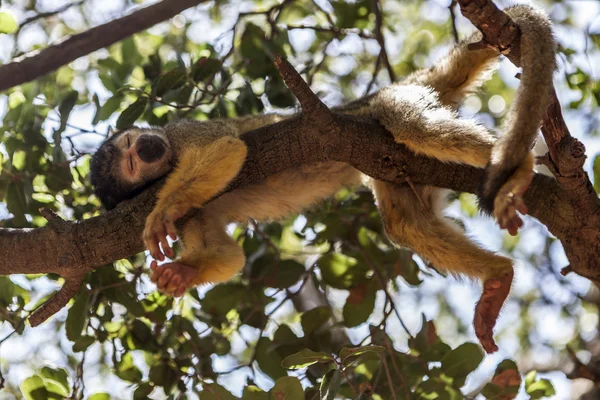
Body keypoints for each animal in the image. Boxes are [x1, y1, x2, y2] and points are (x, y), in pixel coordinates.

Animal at [90, 3, 556, 354]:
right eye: (130, 166)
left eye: (132, 143)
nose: (147, 147)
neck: (168, 166)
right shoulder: (194, 218)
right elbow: (228, 256)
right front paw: (181, 274)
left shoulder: (183, 133)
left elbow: (227, 149)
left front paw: (160, 212)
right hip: (394, 165)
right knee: (403, 221)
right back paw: (497, 277)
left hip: (396, 100)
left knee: (409, 126)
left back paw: (518, 173)